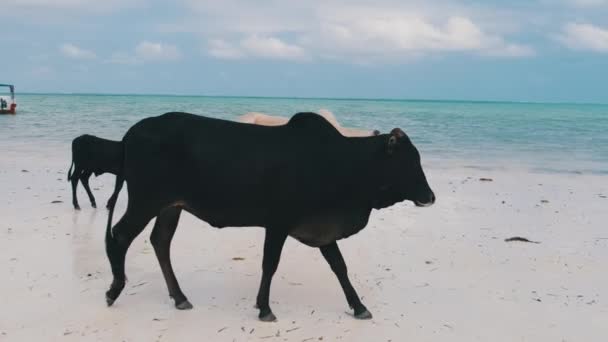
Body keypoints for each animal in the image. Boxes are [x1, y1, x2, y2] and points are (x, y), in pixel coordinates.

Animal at [105, 111, 436, 320]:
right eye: (409, 161)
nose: (430, 197)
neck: (340, 162)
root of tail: (133, 131)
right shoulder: (277, 223)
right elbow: (270, 264)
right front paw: (264, 309)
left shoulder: (322, 229)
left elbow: (340, 267)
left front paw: (358, 306)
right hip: (145, 202)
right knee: (119, 236)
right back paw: (114, 290)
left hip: (170, 207)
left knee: (160, 241)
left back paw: (180, 297)